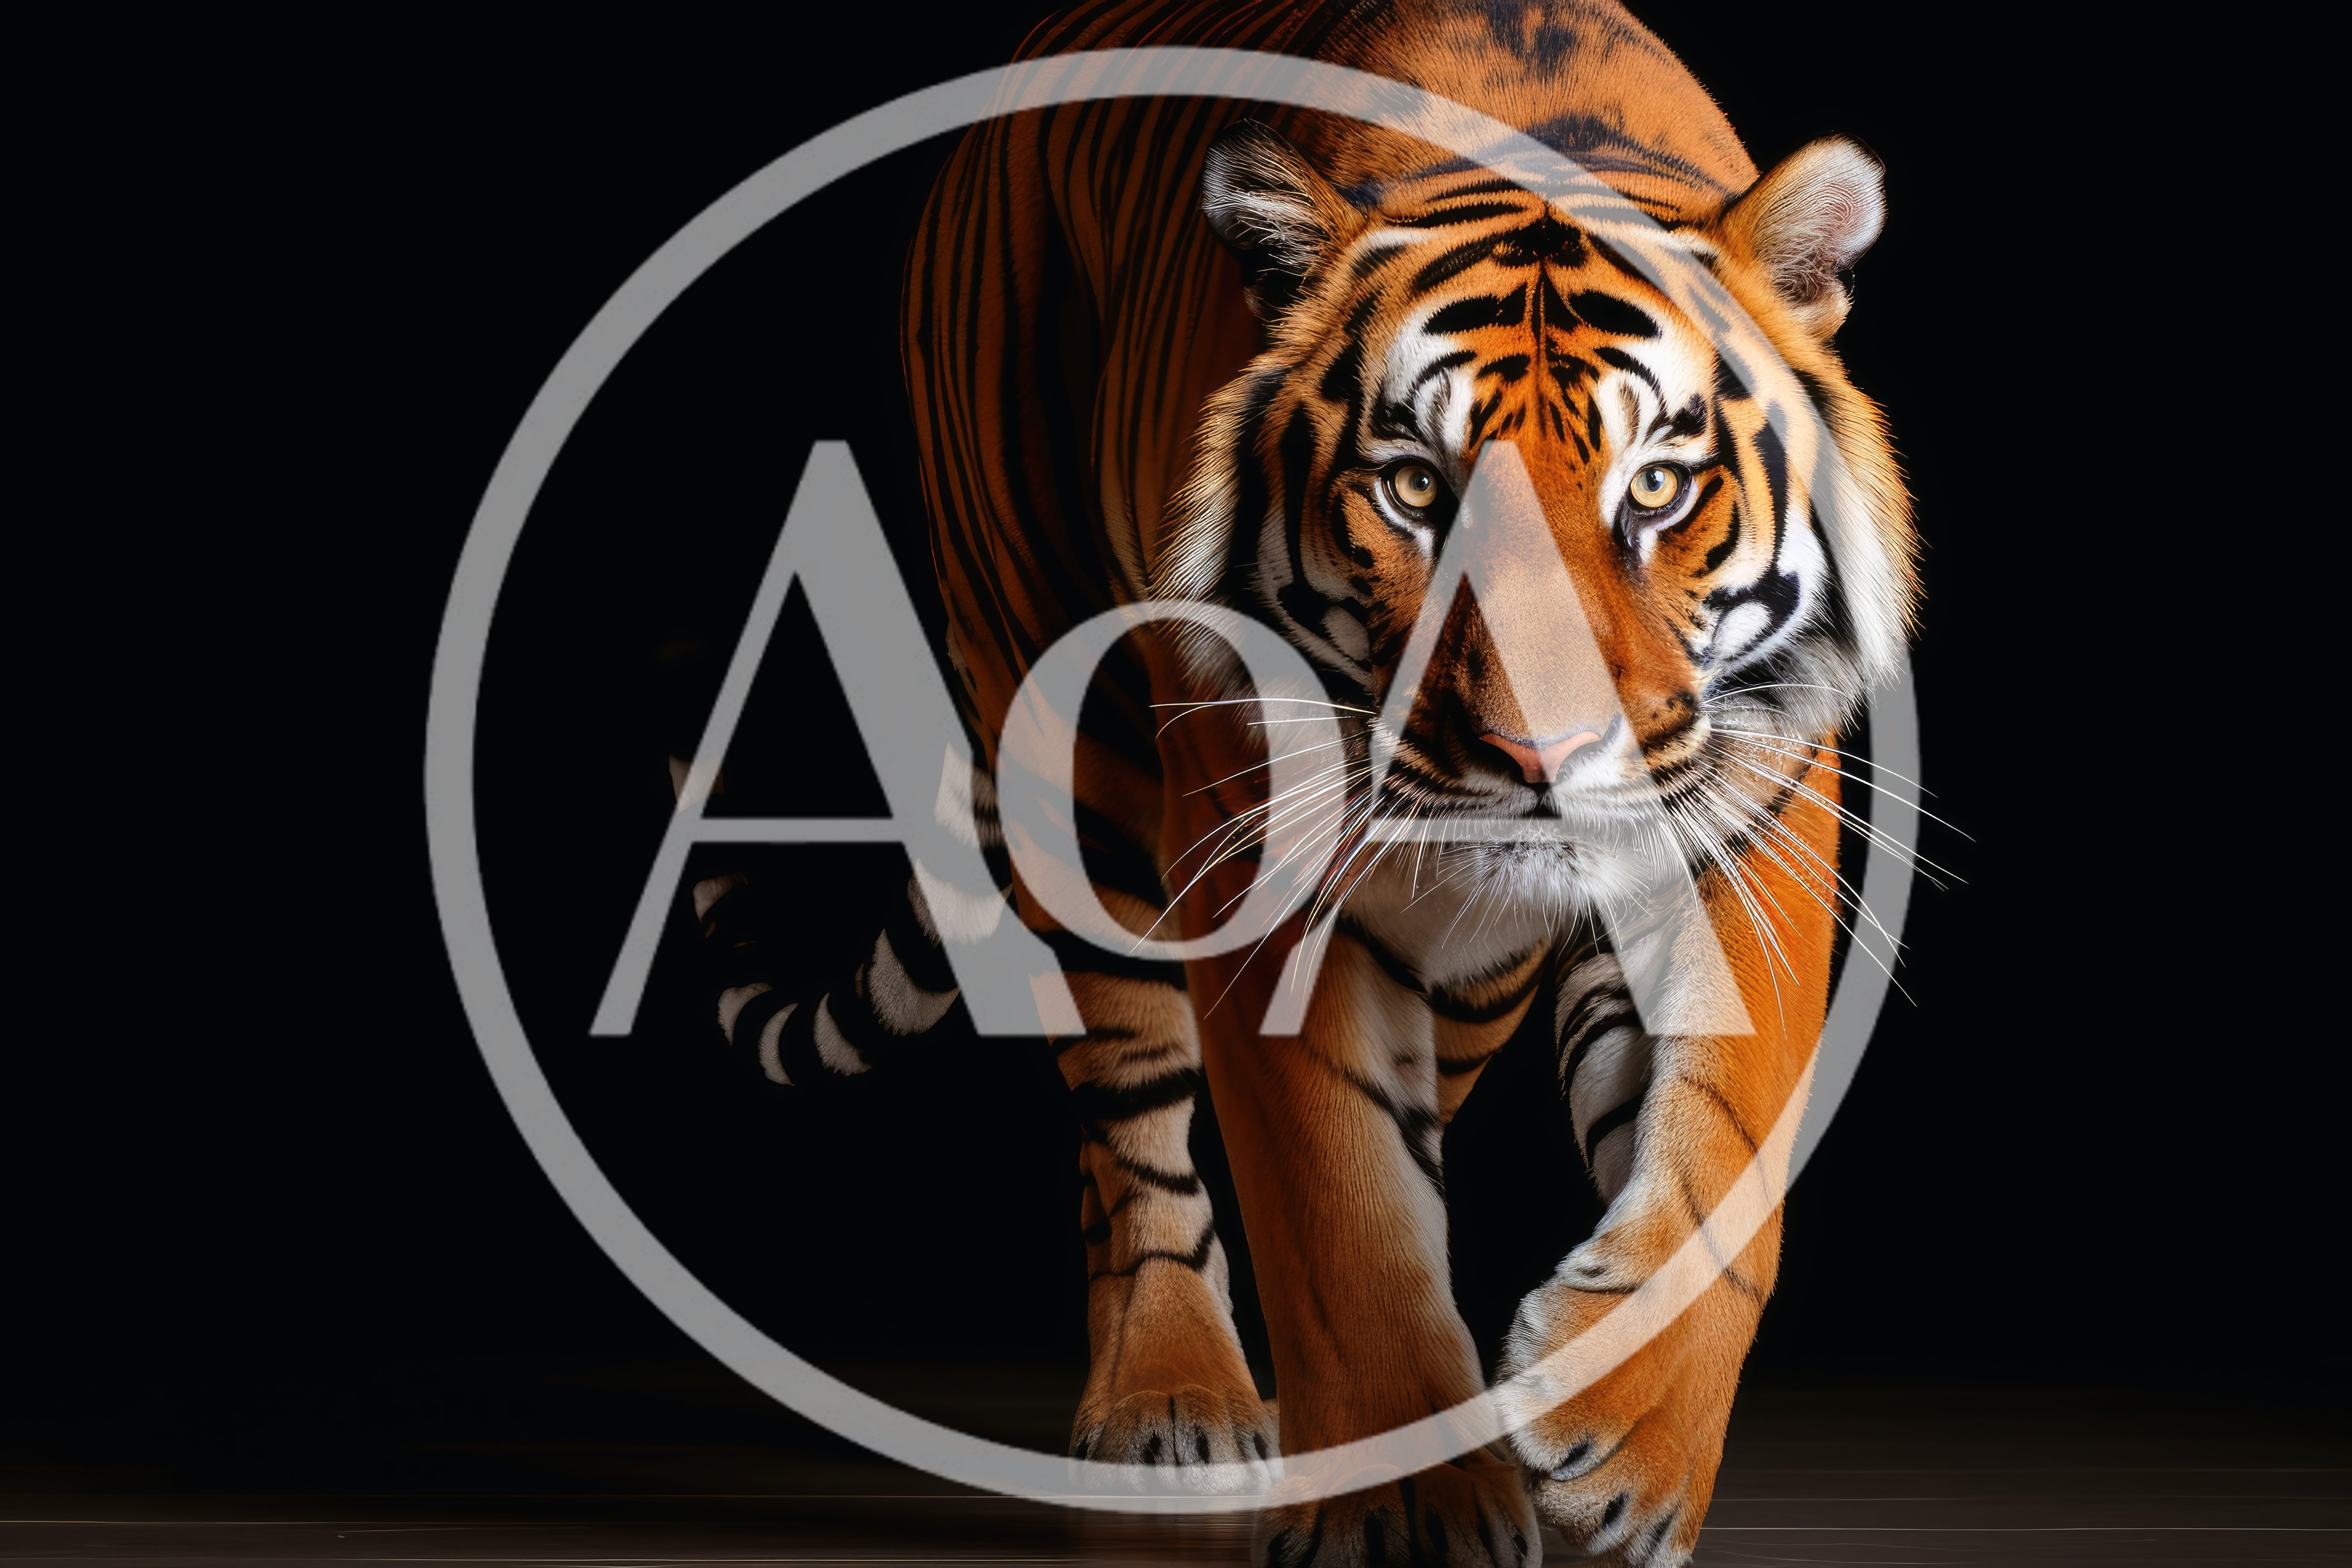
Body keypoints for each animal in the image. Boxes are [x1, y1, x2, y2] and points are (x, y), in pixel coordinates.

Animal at [698, 2, 1915, 1563]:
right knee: (1132, 1115)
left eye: (1655, 489)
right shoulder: (1263, 859)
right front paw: (1406, 1514)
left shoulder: (1749, 843)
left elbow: (1724, 1157)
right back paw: (1170, 1401)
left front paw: (1621, 1452)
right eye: (1414, 489)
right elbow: (1340, 1205)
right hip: (1071, 740)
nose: (1539, 760)